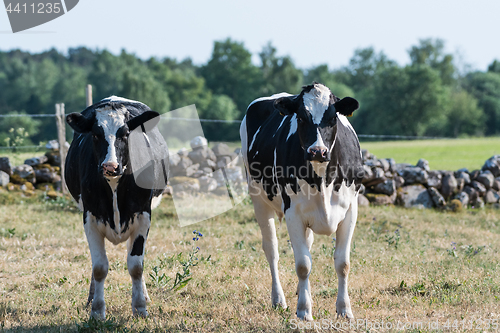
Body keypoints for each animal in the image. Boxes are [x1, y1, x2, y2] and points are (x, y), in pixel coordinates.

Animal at [64, 95, 168, 316]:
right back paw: (91, 298)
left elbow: (136, 265)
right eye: (95, 134)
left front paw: (140, 307)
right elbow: (99, 267)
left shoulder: (143, 216)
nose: (110, 166)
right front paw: (96, 310)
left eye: (126, 133)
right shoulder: (90, 217)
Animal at [240, 82, 362, 320]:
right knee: (272, 250)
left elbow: (343, 263)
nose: (317, 151)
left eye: (333, 117)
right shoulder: (293, 213)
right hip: (258, 199)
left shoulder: (350, 210)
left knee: (307, 243)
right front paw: (304, 310)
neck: (322, 179)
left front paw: (344, 309)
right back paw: (279, 300)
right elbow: (303, 265)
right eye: (301, 118)